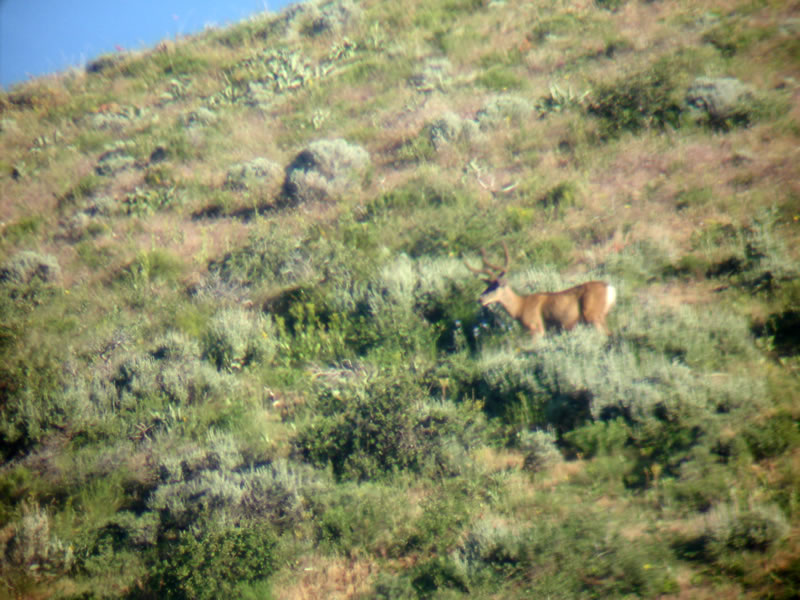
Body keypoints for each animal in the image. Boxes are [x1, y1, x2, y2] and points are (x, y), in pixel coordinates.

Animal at [464, 242, 616, 339]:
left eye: (495, 287)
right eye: (487, 286)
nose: (480, 299)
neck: (521, 307)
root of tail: (610, 288)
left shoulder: (536, 328)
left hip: (593, 316)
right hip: (600, 317)